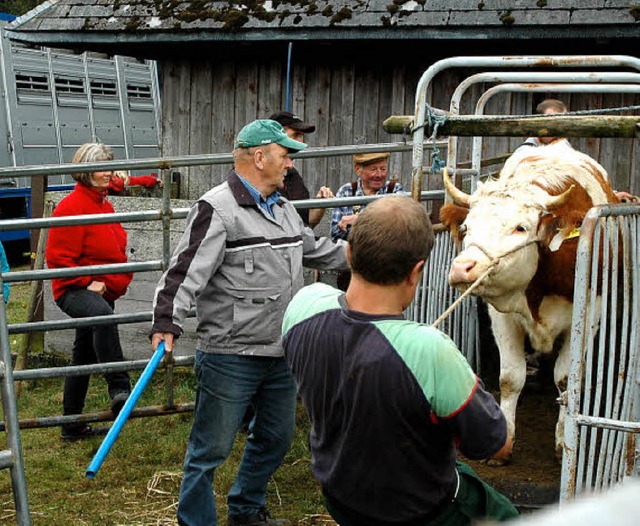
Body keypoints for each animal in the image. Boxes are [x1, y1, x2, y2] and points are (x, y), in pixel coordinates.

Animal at [440, 146, 620, 464]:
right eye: (465, 226)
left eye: (520, 228)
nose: (462, 268)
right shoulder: (502, 315)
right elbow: (510, 378)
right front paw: (503, 446)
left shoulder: (589, 315)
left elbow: (565, 380)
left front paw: (563, 443)